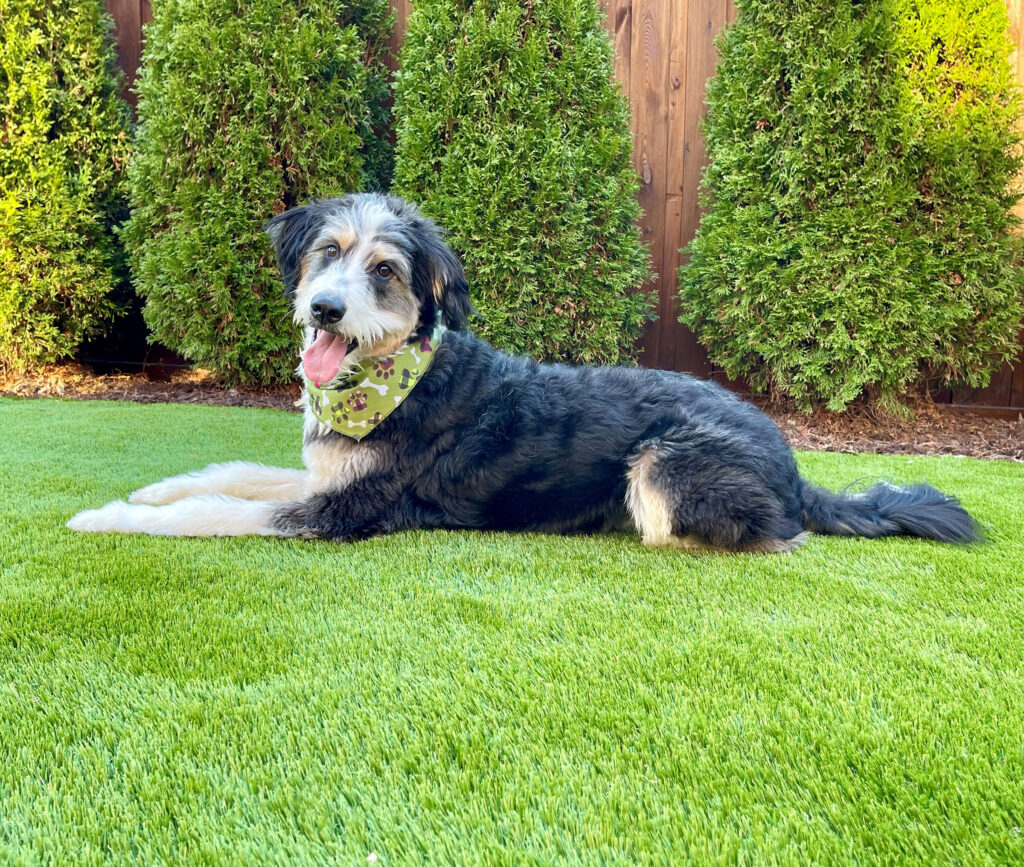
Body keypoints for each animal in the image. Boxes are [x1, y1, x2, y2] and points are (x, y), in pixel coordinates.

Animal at [68, 193, 978, 552]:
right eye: (328, 252)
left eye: (385, 272)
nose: (325, 310)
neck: (403, 380)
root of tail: (791, 460)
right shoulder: (325, 475)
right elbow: (226, 472)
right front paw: (152, 489)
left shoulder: (346, 509)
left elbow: (218, 510)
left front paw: (109, 516)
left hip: (663, 464)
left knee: (768, 535)